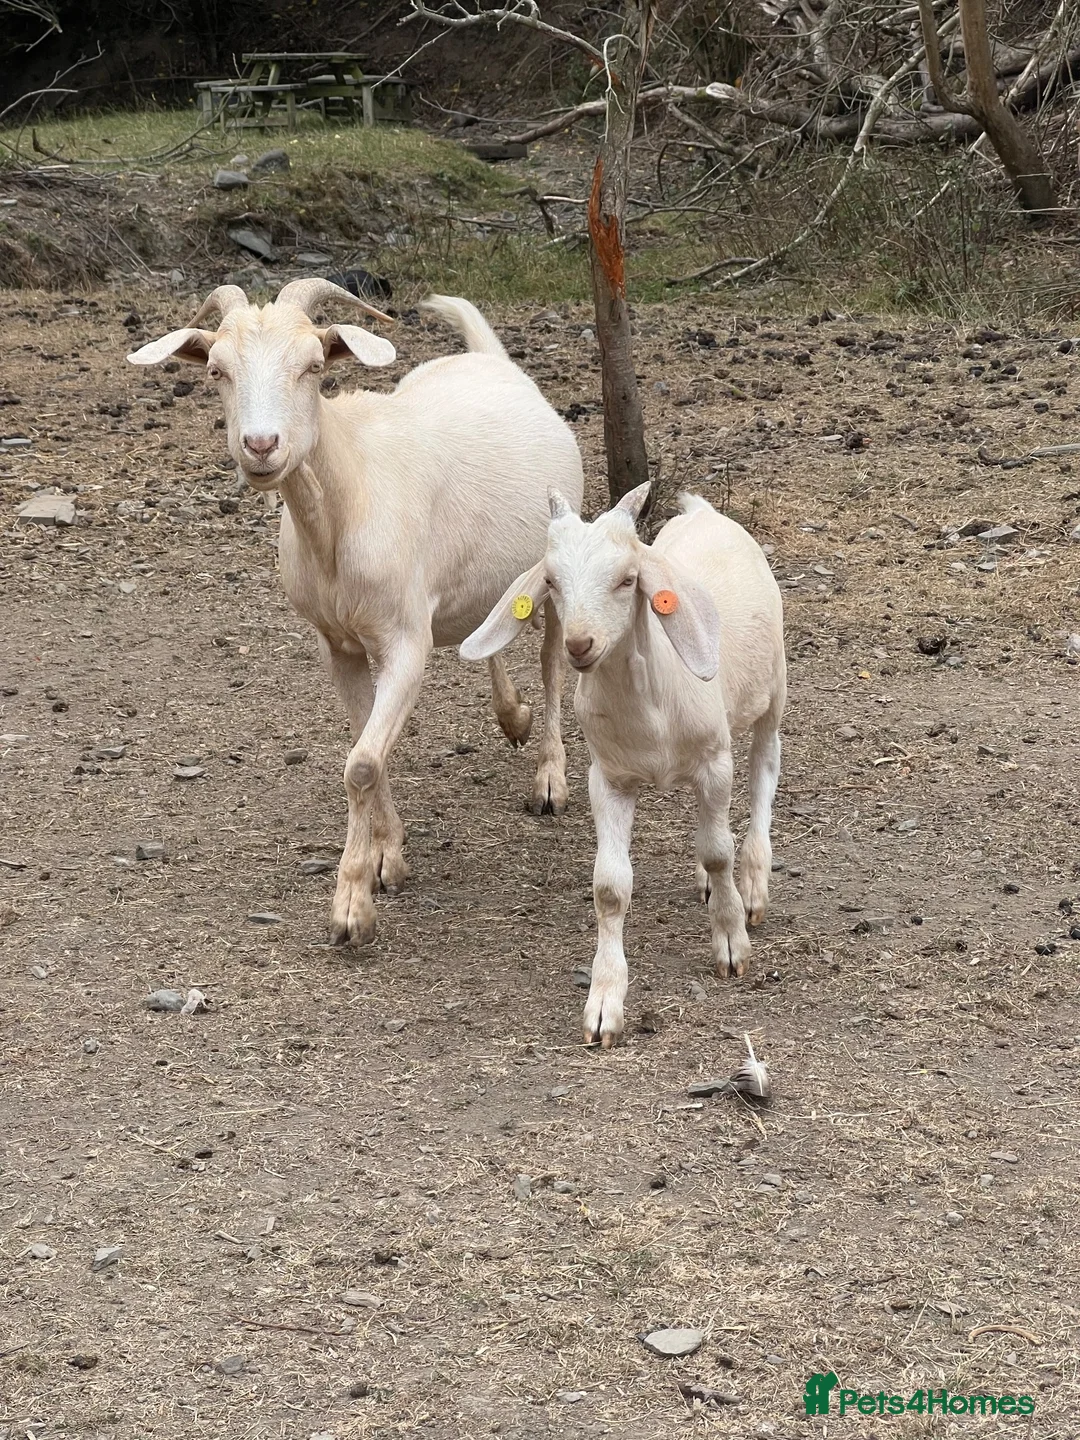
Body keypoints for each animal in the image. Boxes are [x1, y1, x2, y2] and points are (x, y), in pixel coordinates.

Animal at [128, 279, 584, 946]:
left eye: (314, 366)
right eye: (216, 370)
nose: (260, 446)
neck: (346, 501)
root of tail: (492, 358)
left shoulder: (404, 641)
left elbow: (363, 763)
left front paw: (351, 906)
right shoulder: (337, 643)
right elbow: (368, 745)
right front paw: (387, 859)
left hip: (556, 561)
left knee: (552, 659)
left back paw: (550, 777)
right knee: (488, 633)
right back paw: (512, 717)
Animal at [462, 483, 785, 1046]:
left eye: (628, 579)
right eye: (551, 581)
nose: (578, 644)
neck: (653, 702)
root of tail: (705, 512)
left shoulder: (714, 763)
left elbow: (718, 851)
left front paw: (730, 942)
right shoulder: (607, 778)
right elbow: (610, 888)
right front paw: (603, 1005)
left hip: (774, 689)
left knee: (764, 769)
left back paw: (753, 883)